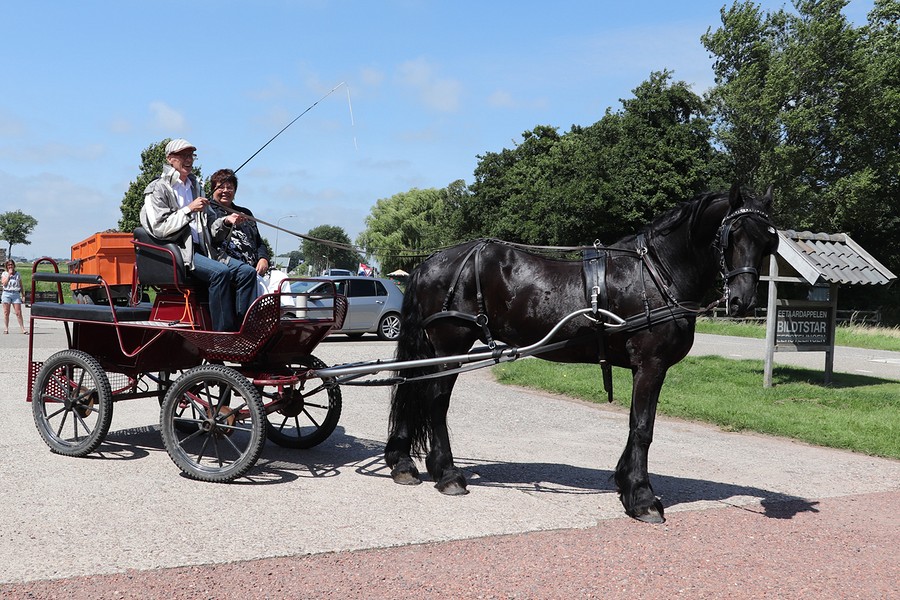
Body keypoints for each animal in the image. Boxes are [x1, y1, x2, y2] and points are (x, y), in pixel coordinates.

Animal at [384, 186, 776, 520]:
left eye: (767, 242)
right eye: (732, 235)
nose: (742, 302)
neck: (656, 274)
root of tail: (430, 262)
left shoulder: (647, 368)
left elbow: (636, 425)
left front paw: (625, 481)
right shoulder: (651, 364)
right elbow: (643, 427)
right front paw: (642, 497)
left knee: (412, 389)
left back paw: (403, 463)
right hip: (451, 346)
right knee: (434, 402)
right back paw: (447, 473)